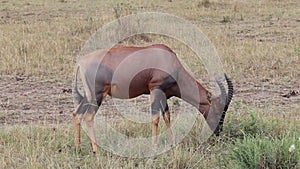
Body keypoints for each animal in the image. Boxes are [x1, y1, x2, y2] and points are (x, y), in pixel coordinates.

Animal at [72, 44, 232, 153]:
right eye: (219, 109)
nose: (218, 132)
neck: (168, 59)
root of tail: (81, 62)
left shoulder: (164, 94)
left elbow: (167, 116)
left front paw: (172, 143)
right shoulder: (155, 89)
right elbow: (155, 118)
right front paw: (154, 147)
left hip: (88, 95)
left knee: (77, 114)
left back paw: (78, 149)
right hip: (97, 94)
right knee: (88, 116)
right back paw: (96, 150)